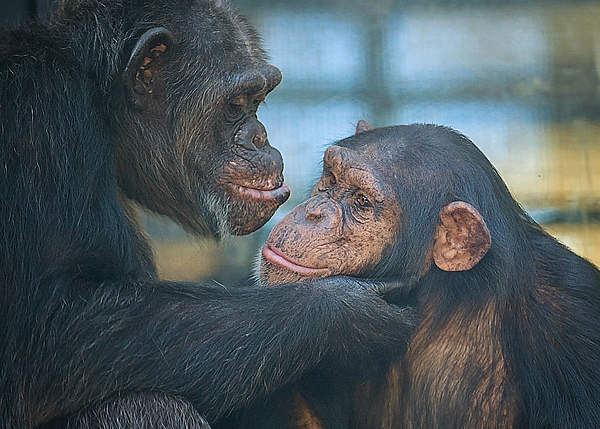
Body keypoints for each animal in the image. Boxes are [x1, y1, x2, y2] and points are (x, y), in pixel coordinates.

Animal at [0, 1, 418, 424]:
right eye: (236, 105)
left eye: (258, 99)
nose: (259, 136)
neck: (99, 99)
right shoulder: (43, 114)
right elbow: (59, 321)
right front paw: (346, 309)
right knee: (142, 402)